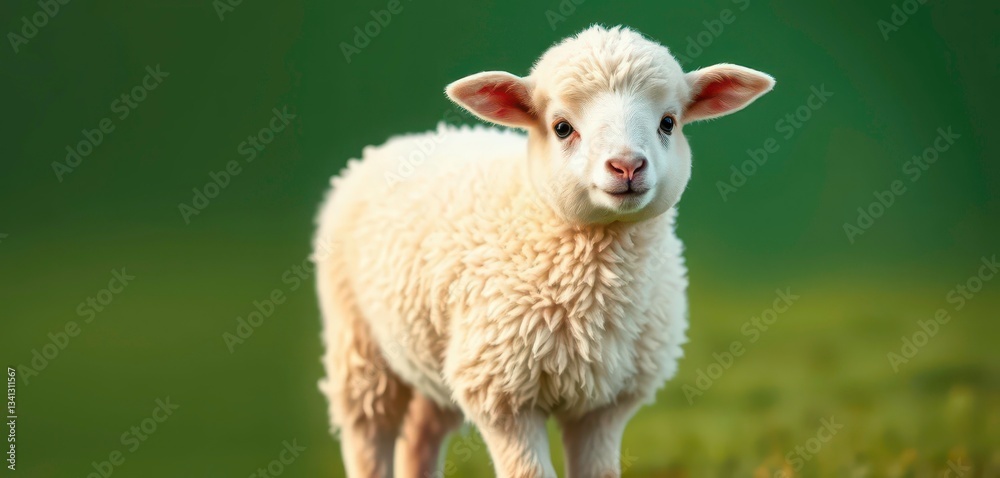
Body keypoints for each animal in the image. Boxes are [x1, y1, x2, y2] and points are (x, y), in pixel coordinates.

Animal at [314, 25, 774, 478]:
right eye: (562, 128)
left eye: (668, 122)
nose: (627, 166)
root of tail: (400, 141)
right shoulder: (500, 393)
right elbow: (528, 472)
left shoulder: (606, 404)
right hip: (358, 345)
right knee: (366, 434)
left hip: (435, 354)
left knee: (422, 434)